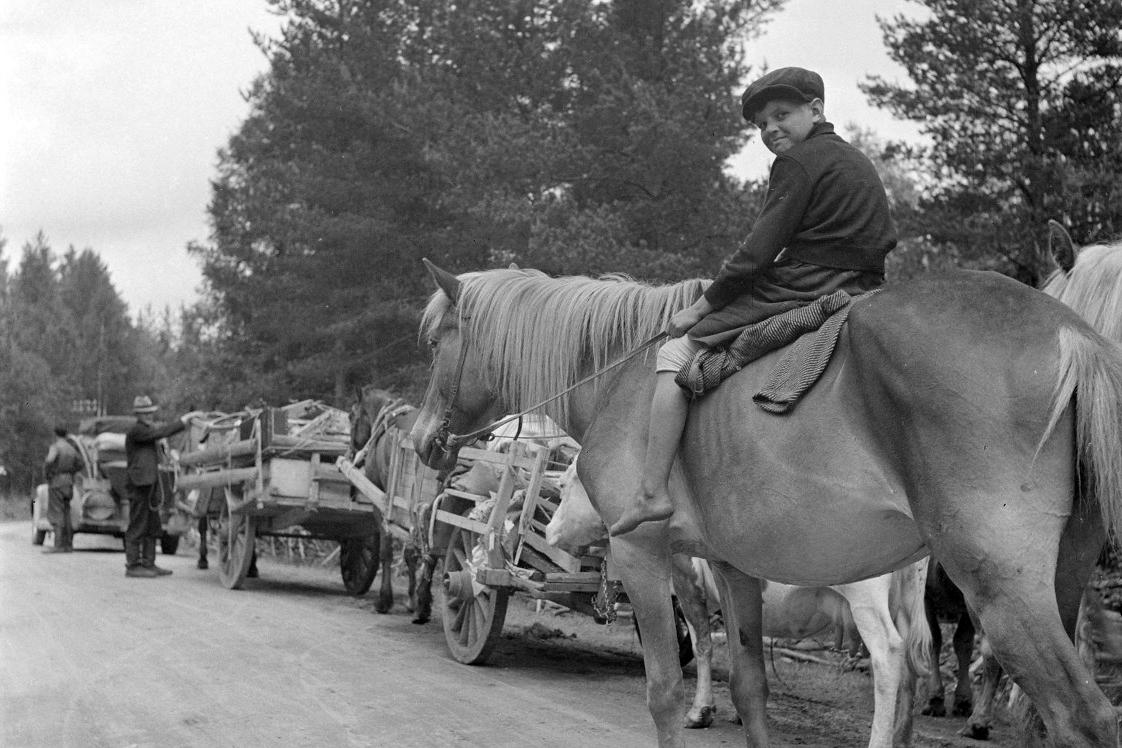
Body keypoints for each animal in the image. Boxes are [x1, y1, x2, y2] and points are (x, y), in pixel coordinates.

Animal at [410, 260, 1122, 744]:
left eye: (435, 341)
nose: (421, 441)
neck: (623, 375)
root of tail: (1071, 330)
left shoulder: (642, 555)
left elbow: (663, 691)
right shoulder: (733, 568)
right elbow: (750, 687)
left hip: (1001, 592)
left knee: (1076, 713)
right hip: (1057, 584)